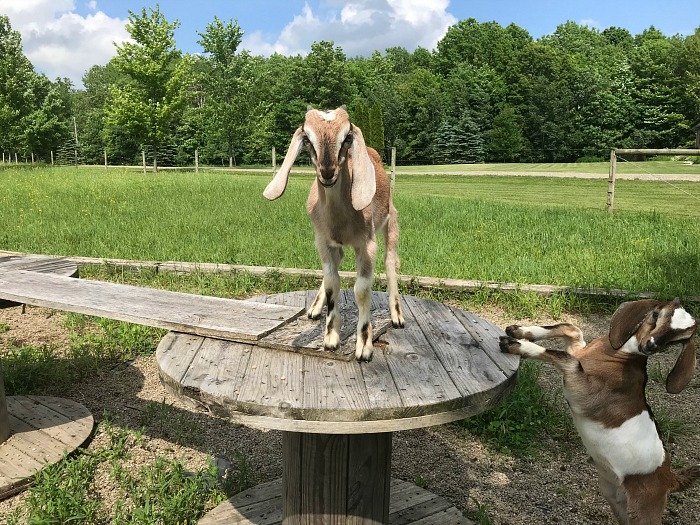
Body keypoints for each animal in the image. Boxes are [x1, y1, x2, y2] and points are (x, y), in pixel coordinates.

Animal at [262, 106, 404, 360]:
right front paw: (330, 337)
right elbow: (331, 282)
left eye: (347, 137)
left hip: (391, 221)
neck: (340, 219)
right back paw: (315, 309)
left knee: (390, 261)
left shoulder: (367, 244)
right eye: (307, 139)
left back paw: (397, 314)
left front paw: (364, 345)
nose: (327, 173)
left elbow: (361, 289)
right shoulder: (323, 241)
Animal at [500, 296, 700, 520]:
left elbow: (569, 360)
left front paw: (517, 344)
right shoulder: (579, 350)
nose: (650, 345)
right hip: (615, 499)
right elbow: (572, 329)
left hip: (644, 511)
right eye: (656, 314)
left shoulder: (580, 392)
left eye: (676, 340)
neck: (620, 356)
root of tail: (669, 477)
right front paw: (519, 331)